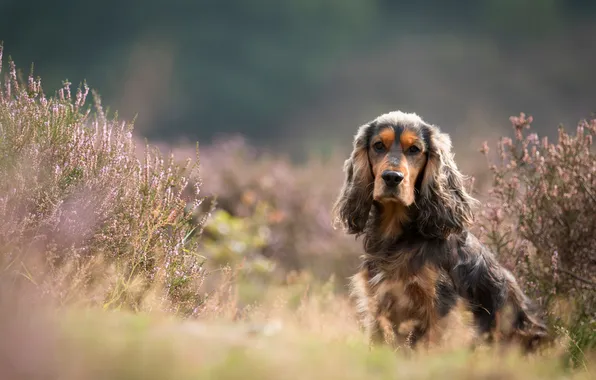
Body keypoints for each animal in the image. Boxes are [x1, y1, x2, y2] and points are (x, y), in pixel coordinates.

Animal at [332, 111, 548, 352]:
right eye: (378, 146)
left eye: (414, 149)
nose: (392, 177)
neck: (398, 234)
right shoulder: (378, 305)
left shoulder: (440, 309)